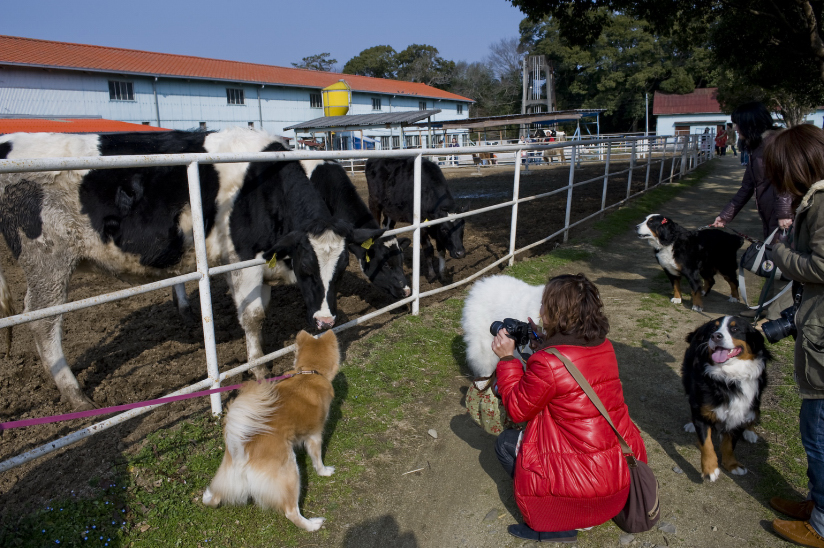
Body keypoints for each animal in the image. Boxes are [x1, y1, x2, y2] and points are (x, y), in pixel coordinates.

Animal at [0, 128, 380, 412]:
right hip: (48, 261)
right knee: (42, 321)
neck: (261, 185)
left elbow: (260, 308)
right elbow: (254, 315)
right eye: (306, 268)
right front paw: (258, 369)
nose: (326, 321)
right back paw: (77, 397)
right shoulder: (244, 257)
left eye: (342, 268)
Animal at [203, 330, 342, 532]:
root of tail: (241, 448)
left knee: (216, 496)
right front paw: (324, 471)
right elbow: (317, 460)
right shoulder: (314, 436)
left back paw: (208, 497)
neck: (308, 373)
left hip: (227, 477)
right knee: (291, 512)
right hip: (290, 472)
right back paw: (312, 524)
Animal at [680, 316, 768, 480]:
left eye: (734, 329)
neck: (728, 378)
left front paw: (731, 465)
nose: (716, 336)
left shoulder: (739, 412)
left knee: (754, 413)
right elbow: (706, 443)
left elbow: (729, 444)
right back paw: (691, 424)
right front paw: (710, 469)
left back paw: (750, 432)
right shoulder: (702, 409)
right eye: (713, 329)